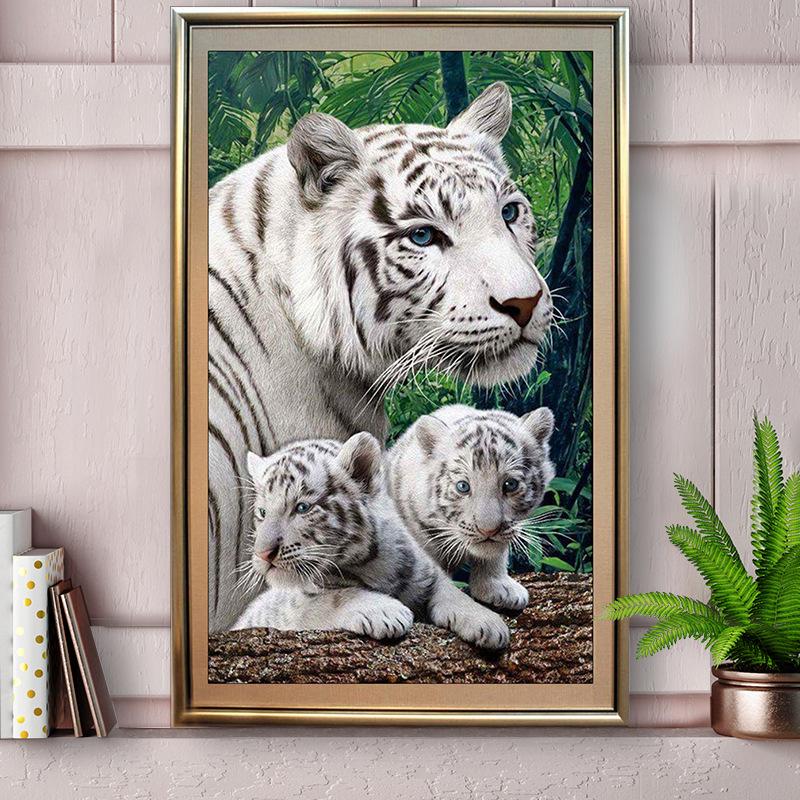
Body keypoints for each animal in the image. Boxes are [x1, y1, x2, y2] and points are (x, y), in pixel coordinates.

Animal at [233, 432, 510, 650]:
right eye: (262, 513)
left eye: (302, 508)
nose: (263, 553)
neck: (370, 563)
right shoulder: (291, 606)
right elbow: (333, 597)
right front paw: (387, 612)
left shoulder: (426, 573)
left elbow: (452, 593)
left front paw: (489, 624)